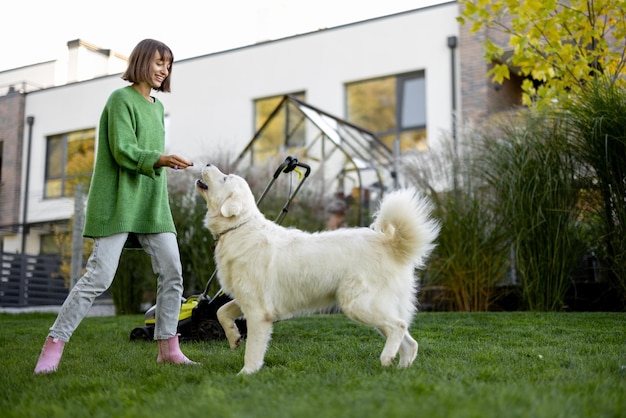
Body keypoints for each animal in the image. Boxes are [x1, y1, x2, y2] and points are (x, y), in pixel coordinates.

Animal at [195, 163, 438, 376]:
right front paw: (233, 337)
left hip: (358, 305)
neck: (238, 228)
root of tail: (389, 242)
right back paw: (400, 369)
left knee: (399, 326)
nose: (207, 164)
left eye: (225, 178)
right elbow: (221, 311)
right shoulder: (246, 300)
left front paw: (246, 374)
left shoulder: (258, 312)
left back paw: (386, 358)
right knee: (410, 341)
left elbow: (252, 350)